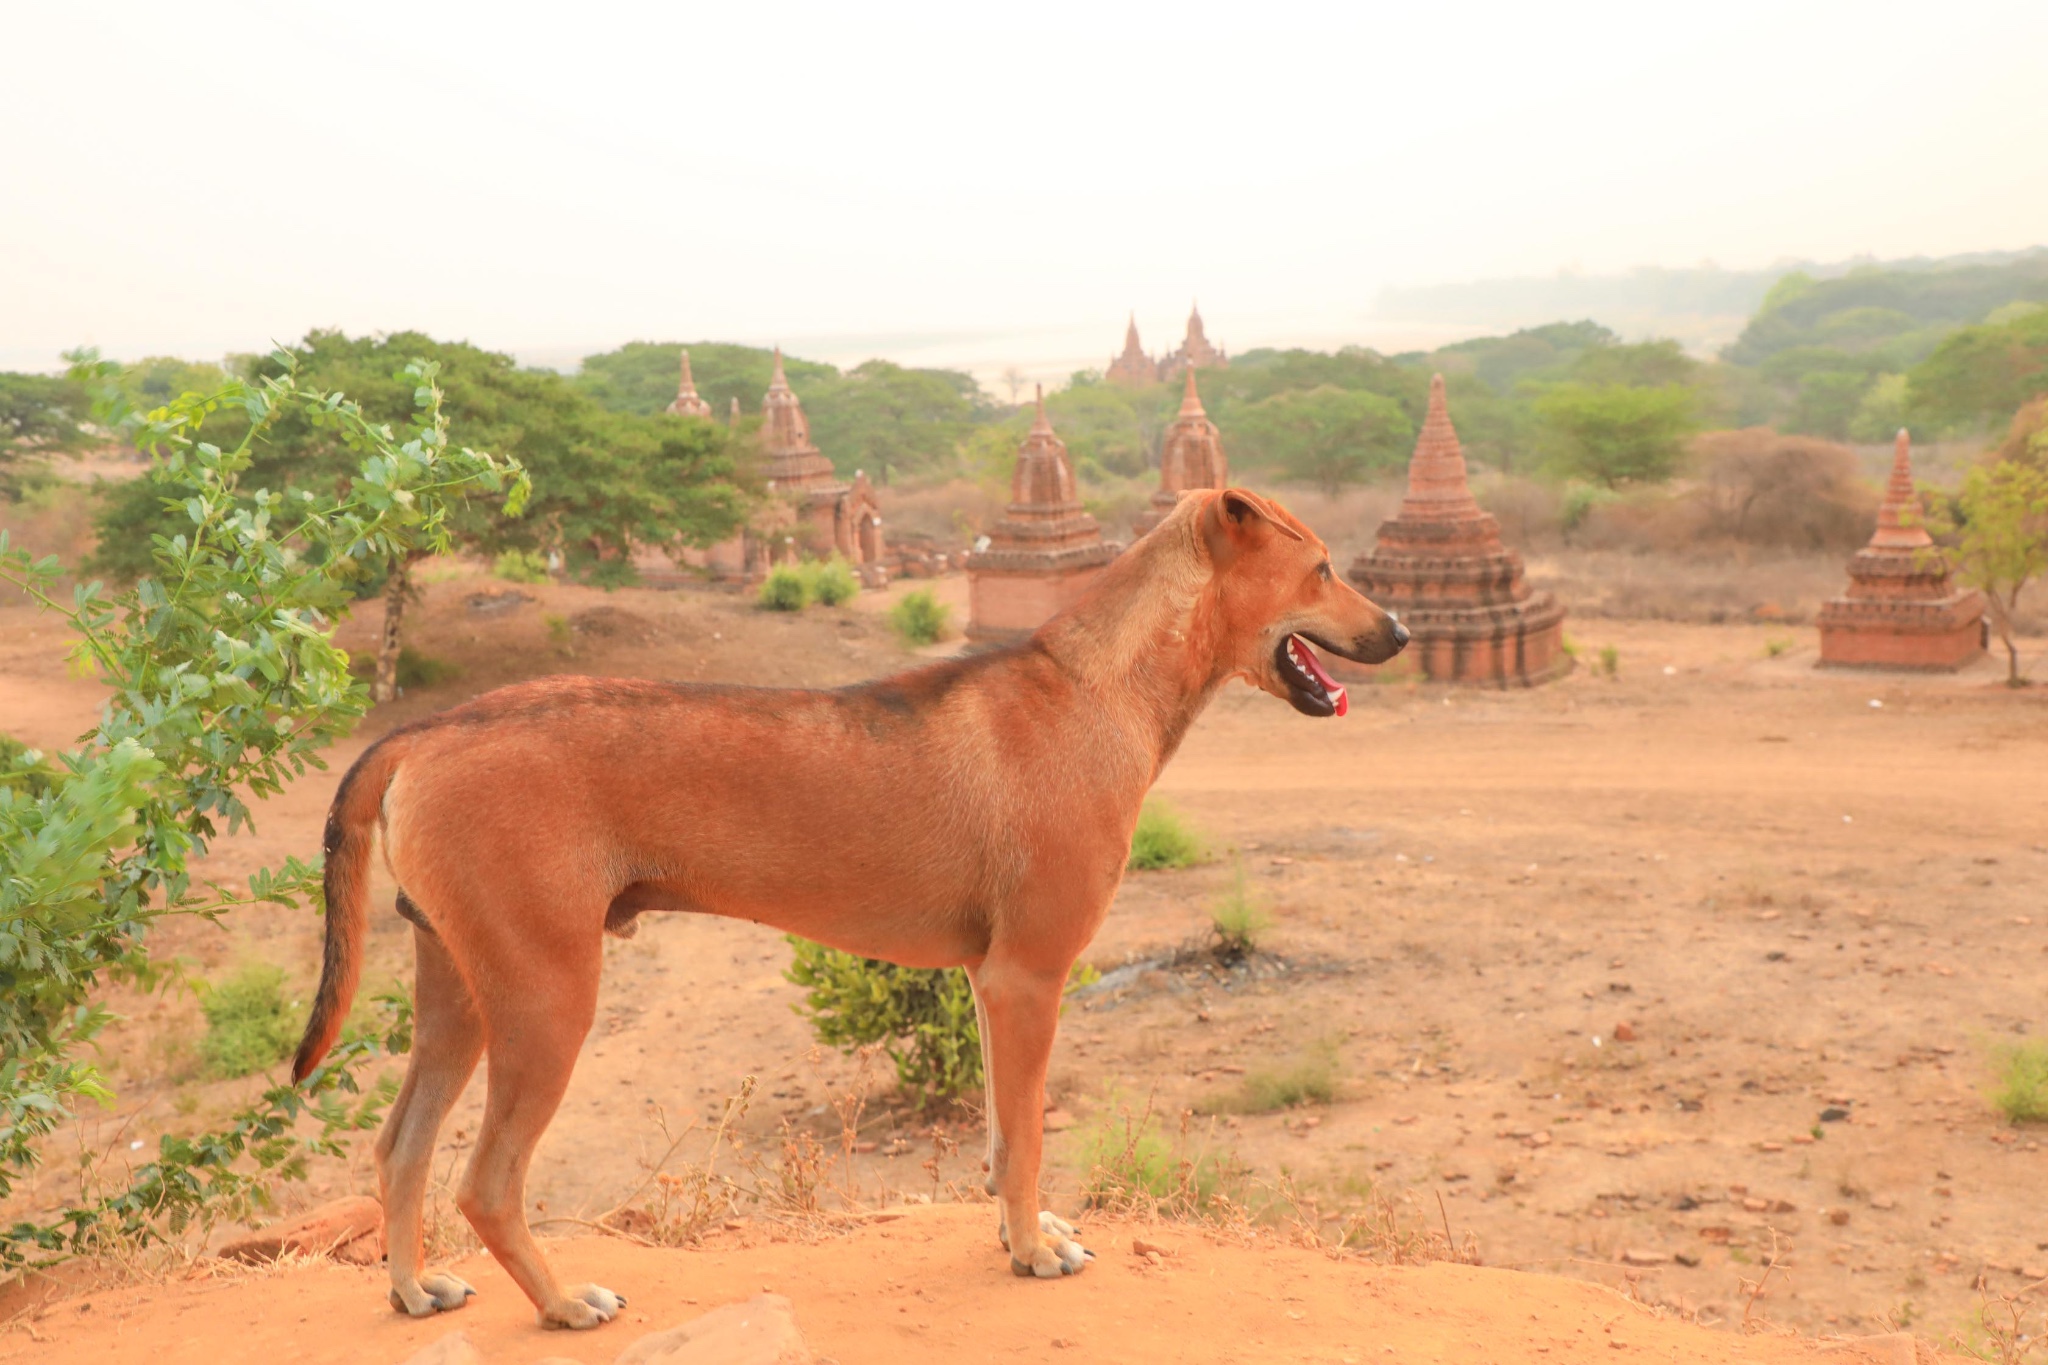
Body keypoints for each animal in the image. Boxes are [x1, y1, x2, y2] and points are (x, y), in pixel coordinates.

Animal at [292, 485, 1409, 1326]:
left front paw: (1021, 1233)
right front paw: (1027, 1252)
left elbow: (1000, 1140)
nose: (1398, 630)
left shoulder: (989, 982)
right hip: (546, 994)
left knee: (399, 1147)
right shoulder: (1028, 978)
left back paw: (411, 1290)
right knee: (486, 1179)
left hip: (458, 989)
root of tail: (428, 729)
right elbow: (1027, 1139)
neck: (1103, 683)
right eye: (1321, 569)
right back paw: (565, 1305)